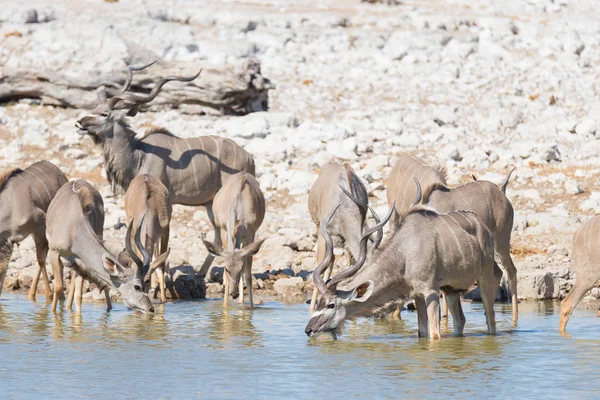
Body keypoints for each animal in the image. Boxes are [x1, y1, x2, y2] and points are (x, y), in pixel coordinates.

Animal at [75, 65, 255, 276]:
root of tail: (249, 157)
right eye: (93, 109)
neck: (139, 155)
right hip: (210, 204)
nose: (79, 123)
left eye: (104, 114)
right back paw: (201, 273)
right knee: (218, 237)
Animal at [304, 180, 502, 340]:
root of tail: (481, 225)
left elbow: (434, 335)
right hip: (451, 289)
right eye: (318, 303)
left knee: (491, 320)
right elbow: (423, 333)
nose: (309, 330)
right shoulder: (417, 294)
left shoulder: (430, 291)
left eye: (331, 305)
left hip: (484, 278)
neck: (405, 252)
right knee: (460, 321)